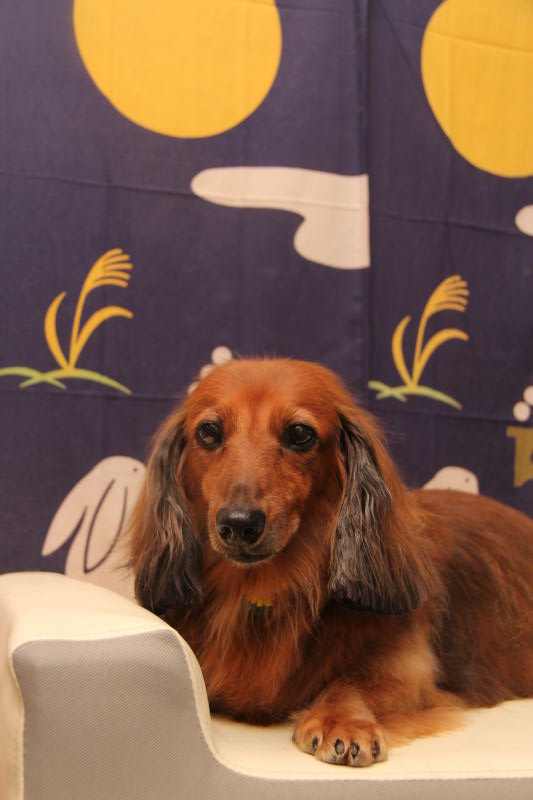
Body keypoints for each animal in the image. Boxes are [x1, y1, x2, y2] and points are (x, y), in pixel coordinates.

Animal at [128, 358, 533, 767]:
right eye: (209, 432)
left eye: (299, 434)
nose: (239, 524)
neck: (263, 590)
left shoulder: (409, 669)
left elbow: (353, 682)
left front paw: (341, 721)